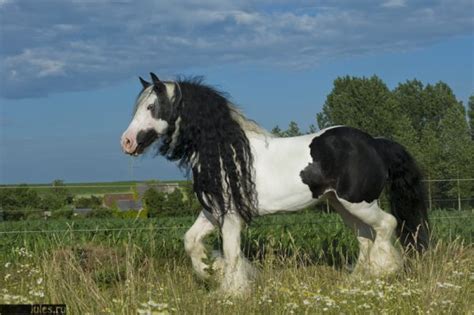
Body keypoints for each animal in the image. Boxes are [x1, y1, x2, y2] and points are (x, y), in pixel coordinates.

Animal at [121, 74, 430, 296]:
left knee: (387, 225)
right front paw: (209, 272)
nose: (127, 142)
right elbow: (191, 241)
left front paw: (232, 291)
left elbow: (232, 253)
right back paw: (357, 280)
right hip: (343, 206)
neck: (226, 152)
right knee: (366, 236)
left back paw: (384, 271)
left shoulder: (231, 216)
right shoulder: (212, 211)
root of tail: (375, 143)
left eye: (151, 107)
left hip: (359, 202)